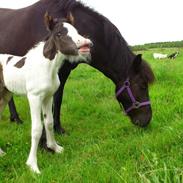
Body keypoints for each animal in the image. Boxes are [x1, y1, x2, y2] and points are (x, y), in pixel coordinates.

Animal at [0, 0, 154, 146]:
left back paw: (15, 118)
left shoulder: (63, 72)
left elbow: (58, 99)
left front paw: (58, 128)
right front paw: (45, 141)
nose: (146, 120)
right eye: (142, 86)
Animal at [0, 12, 91, 173]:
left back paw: (1, 153)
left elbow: (49, 122)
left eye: (76, 30)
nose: (86, 44)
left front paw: (55, 147)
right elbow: (37, 128)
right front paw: (32, 165)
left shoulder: (47, 97)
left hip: (5, 95)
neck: (46, 67)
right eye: (59, 33)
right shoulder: (34, 97)